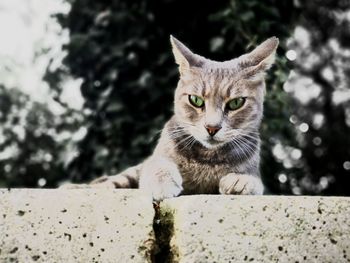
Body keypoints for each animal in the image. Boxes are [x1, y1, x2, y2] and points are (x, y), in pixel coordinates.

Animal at [60, 34, 278, 200]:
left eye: (235, 103)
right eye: (196, 100)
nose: (212, 127)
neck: (207, 160)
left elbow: (255, 181)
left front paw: (241, 180)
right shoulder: (156, 159)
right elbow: (159, 165)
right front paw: (162, 183)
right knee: (108, 182)